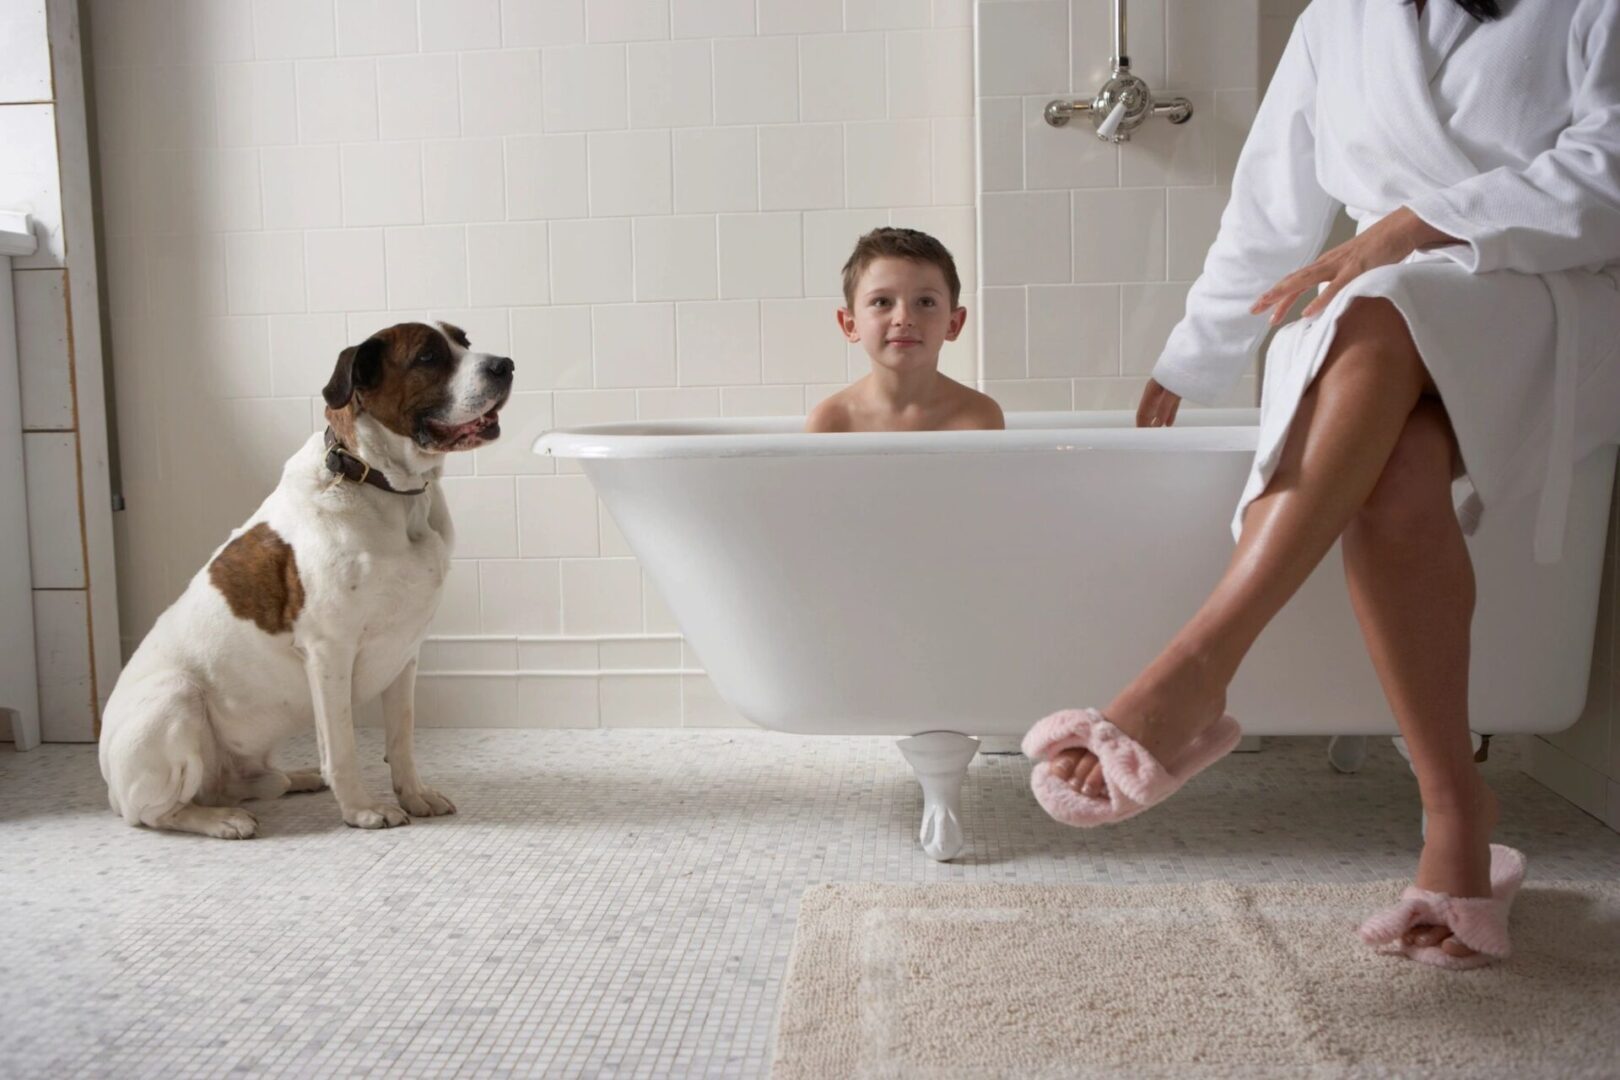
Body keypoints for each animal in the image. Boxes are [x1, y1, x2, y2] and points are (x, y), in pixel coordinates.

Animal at [96, 320, 511, 835]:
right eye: (428, 357)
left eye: (464, 341)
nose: (506, 365)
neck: (380, 483)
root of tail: (108, 784)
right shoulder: (329, 652)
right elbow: (343, 746)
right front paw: (362, 810)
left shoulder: (405, 653)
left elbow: (401, 739)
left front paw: (414, 795)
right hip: (175, 699)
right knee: (154, 813)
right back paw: (221, 820)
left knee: (247, 782)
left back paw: (295, 778)